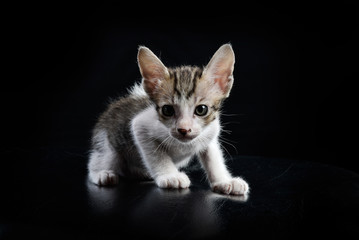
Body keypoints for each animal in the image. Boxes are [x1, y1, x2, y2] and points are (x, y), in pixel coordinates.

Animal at [88, 44, 249, 196]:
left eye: (201, 109)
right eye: (167, 110)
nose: (184, 129)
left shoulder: (210, 132)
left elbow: (213, 157)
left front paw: (224, 181)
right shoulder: (141, 125)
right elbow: (156, 155)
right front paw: (170, 175)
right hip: (108, 140)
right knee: (102, 158)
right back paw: (102, 173)